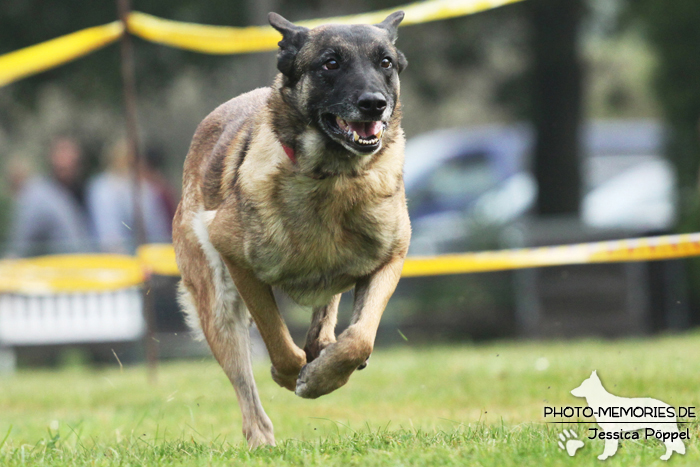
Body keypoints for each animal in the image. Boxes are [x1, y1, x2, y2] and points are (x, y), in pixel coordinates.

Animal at [172, 11, 410, 450]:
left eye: (385, 62)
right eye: (330, 63)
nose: (374, 103)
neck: (333, 177)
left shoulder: (391, 259)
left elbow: (359, 338)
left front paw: (323, 374)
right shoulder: (238, 261)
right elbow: (279, 343)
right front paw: (292, 376)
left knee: (329, 313)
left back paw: (323, 346)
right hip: (218, 306)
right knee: (245, 386)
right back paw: (261, 439)